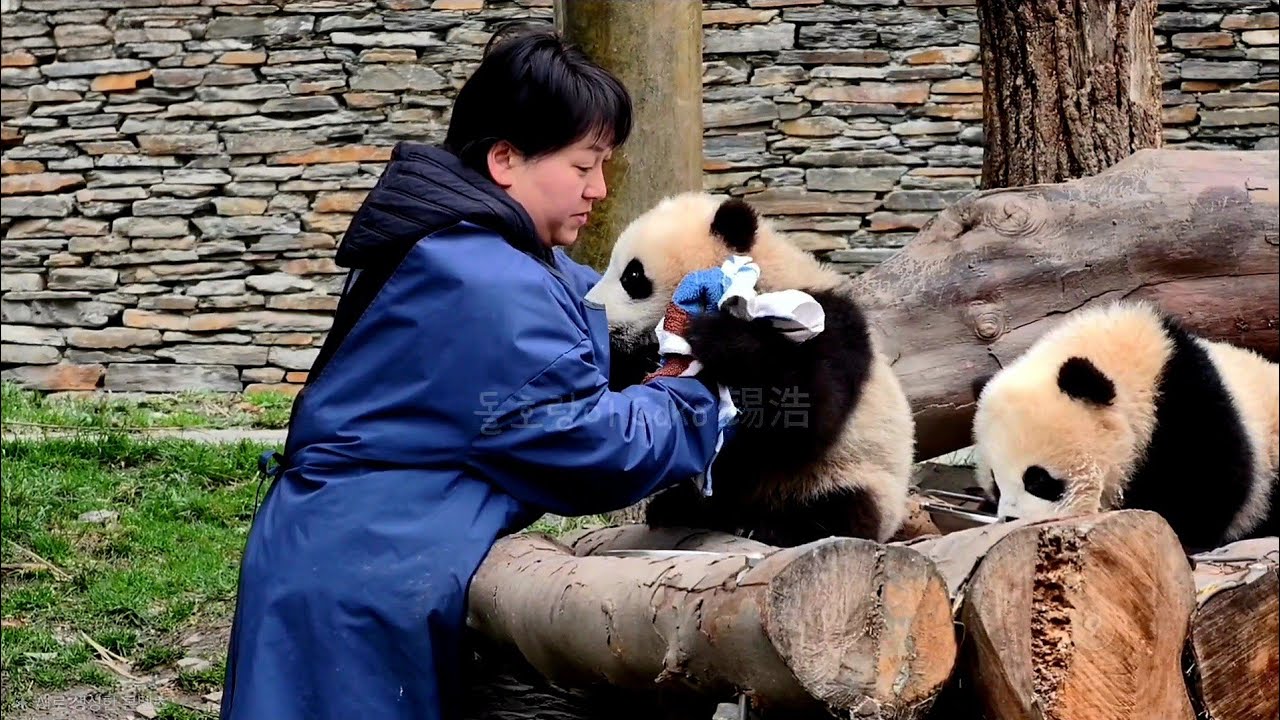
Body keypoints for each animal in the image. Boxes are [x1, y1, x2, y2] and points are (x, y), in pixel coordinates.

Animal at [583, 191, 915, 547]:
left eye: (632, 276)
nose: (591, 307)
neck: (763, 278)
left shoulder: (828, 324)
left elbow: (810, 410)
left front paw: (715, 337)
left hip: (849, 473)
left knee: (842, 506)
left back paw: (778, 526)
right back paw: (678, 507)